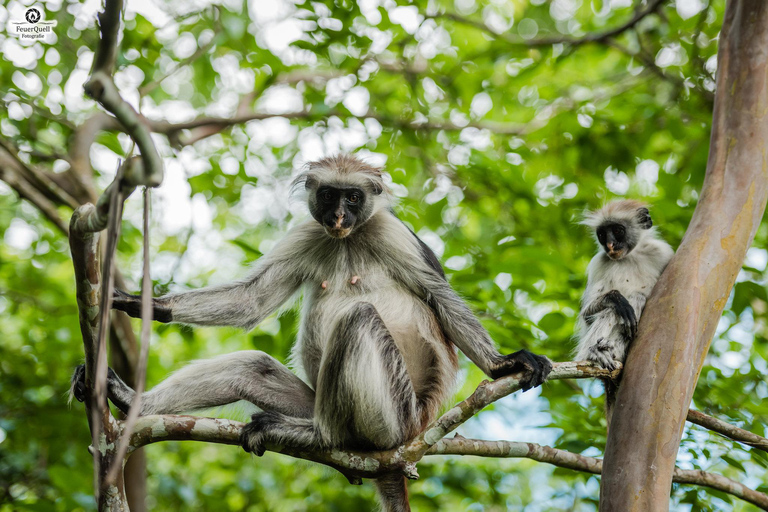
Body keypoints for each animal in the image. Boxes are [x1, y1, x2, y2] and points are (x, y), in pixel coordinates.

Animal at [70, 153, 552, 512]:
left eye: (353, 197)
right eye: (328, 195)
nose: (338, 214)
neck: (347, 239)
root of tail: (414, 434)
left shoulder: (393, 233)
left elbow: (440, 299)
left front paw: (503, 364)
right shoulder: (310, 231)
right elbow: (251, 301)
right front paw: (139, 304)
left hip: (393, 416)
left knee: (358, 318)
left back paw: (322, 437)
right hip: (320, 400)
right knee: (253, 367)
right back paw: (131, 400)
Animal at [572, 200, 676, 424]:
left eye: (618, 231)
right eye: (602, 234)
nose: (610, 245)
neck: (630, 256)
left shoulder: (663, 253)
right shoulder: (599, 262)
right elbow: (588, 315)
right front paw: (615, 298)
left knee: (637, 298)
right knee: (620, 309)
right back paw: (594, 352)